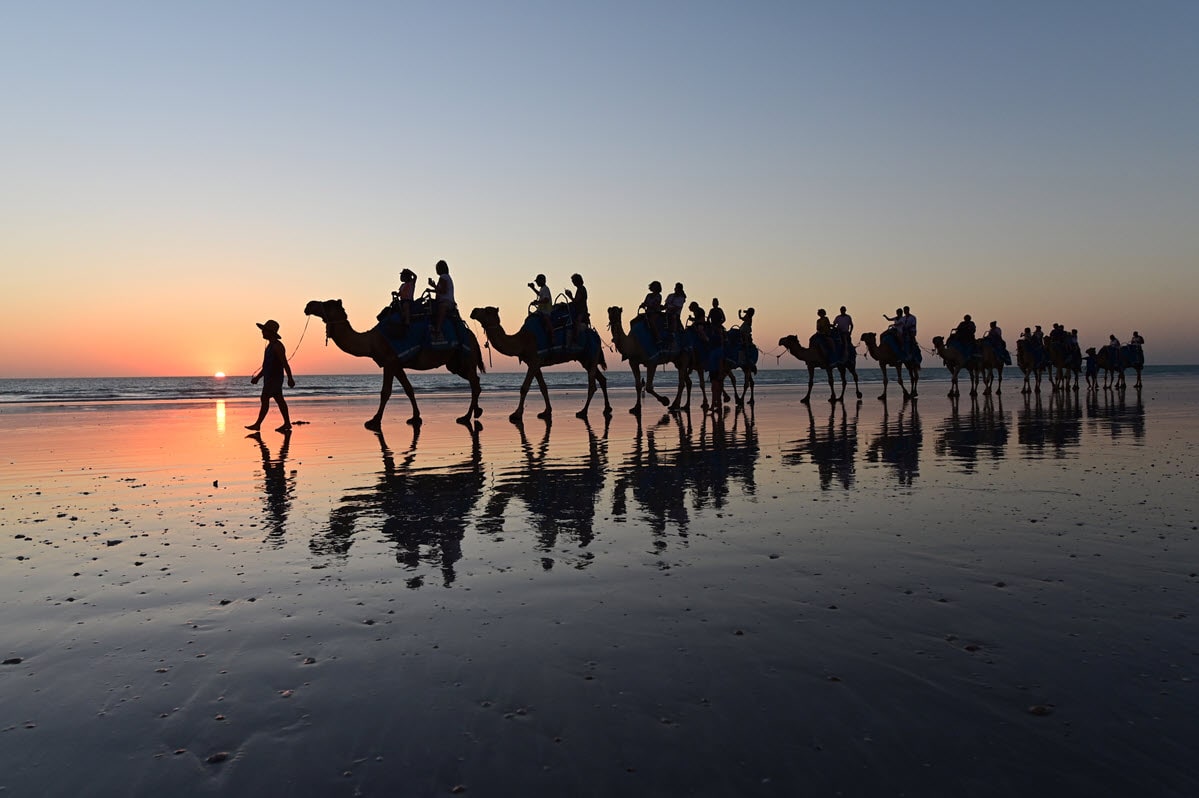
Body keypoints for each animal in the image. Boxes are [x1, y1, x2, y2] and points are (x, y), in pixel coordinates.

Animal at [304, 297, 481, 428]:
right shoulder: (395, 364)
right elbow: (409, 389)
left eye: (327, 303)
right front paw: (415, 417)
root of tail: (471, 335)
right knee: (476, 381)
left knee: (474, 383)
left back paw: (466, 416)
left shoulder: (390, 362)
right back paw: (475, 412)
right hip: (455, 363)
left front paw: (374, 420)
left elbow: (385, 392)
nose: (308, 305)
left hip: (465, 357)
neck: (370, 342)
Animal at [467, 304, 613, 421]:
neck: (522, 340)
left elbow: (524, 388)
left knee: (592, 385)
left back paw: (583, 411)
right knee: (602, 379)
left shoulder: (534, 361)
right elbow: (543, 387)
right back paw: (607, 409)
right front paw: (546, 412)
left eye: (487, 310)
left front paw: (516, 414)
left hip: (591, 353)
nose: (473, 311)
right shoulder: (534, 363)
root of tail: (596, 335)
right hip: (585, 358)